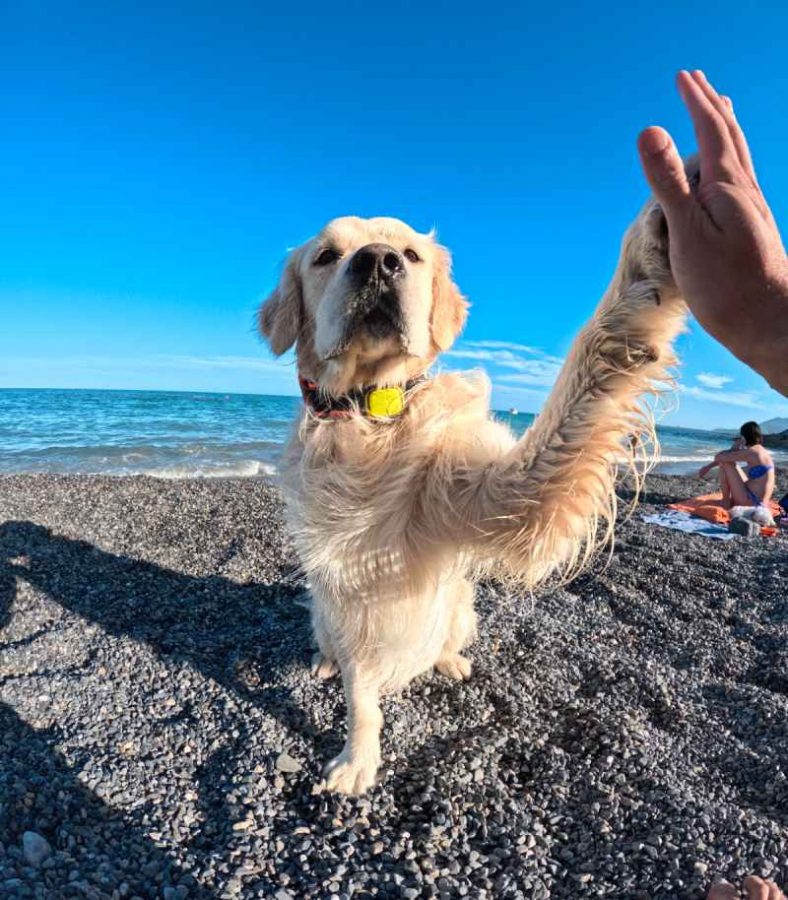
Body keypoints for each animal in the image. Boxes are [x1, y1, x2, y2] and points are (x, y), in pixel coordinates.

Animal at [258, 178, 688, 796]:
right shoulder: (354, 595)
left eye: (409, 254)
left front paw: (651, 256)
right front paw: (357, 761)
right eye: (325, 256)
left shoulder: (504, 494)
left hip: (464, 606)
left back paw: (450, 661)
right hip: (326, 610)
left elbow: (589, 371)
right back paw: (324, 660)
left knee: (449, 639)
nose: (378, 262)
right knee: (330, 642)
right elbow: (361, 697)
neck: (373, 415)